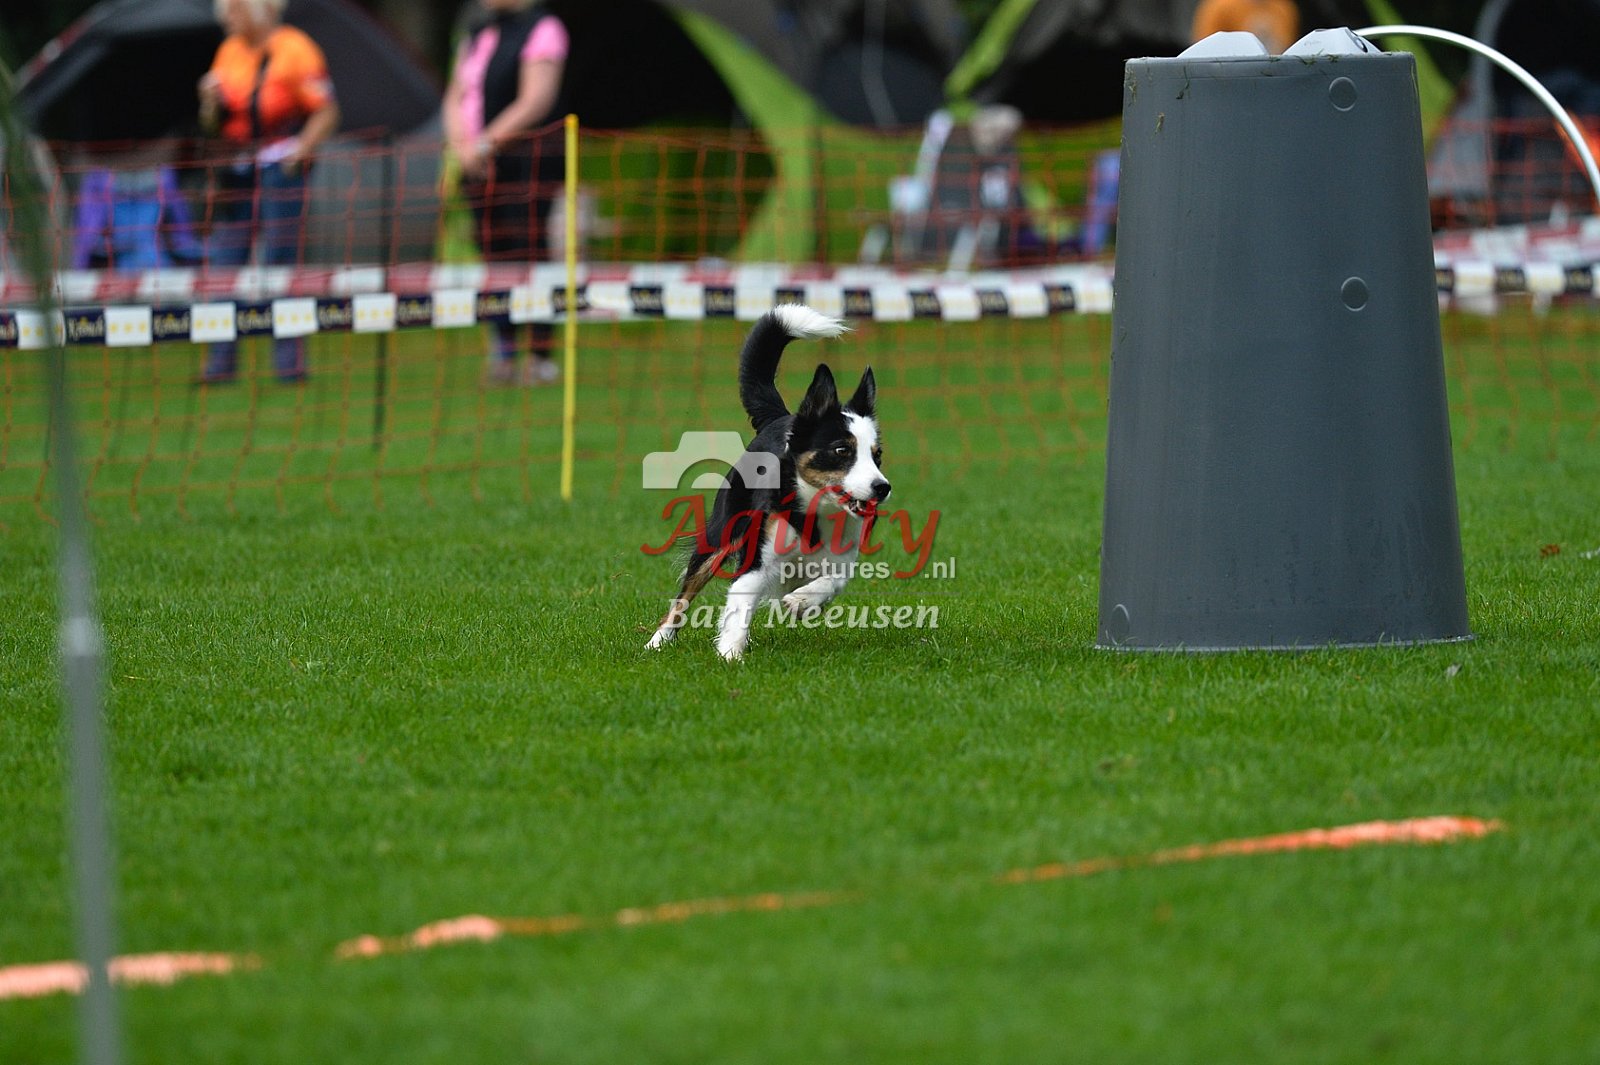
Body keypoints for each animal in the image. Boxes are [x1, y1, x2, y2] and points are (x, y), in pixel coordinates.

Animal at [646, 303, 891, 661]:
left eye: (877, 455)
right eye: (842, 450)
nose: (881, 487)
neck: (812, 513)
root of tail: (780, 417)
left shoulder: (843, 556)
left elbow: (833, 582)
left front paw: (801, 602)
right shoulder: (756, 560)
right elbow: (739, 605)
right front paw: (730, 656)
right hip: (720, 534)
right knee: (684, 595)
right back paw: (658, 641)